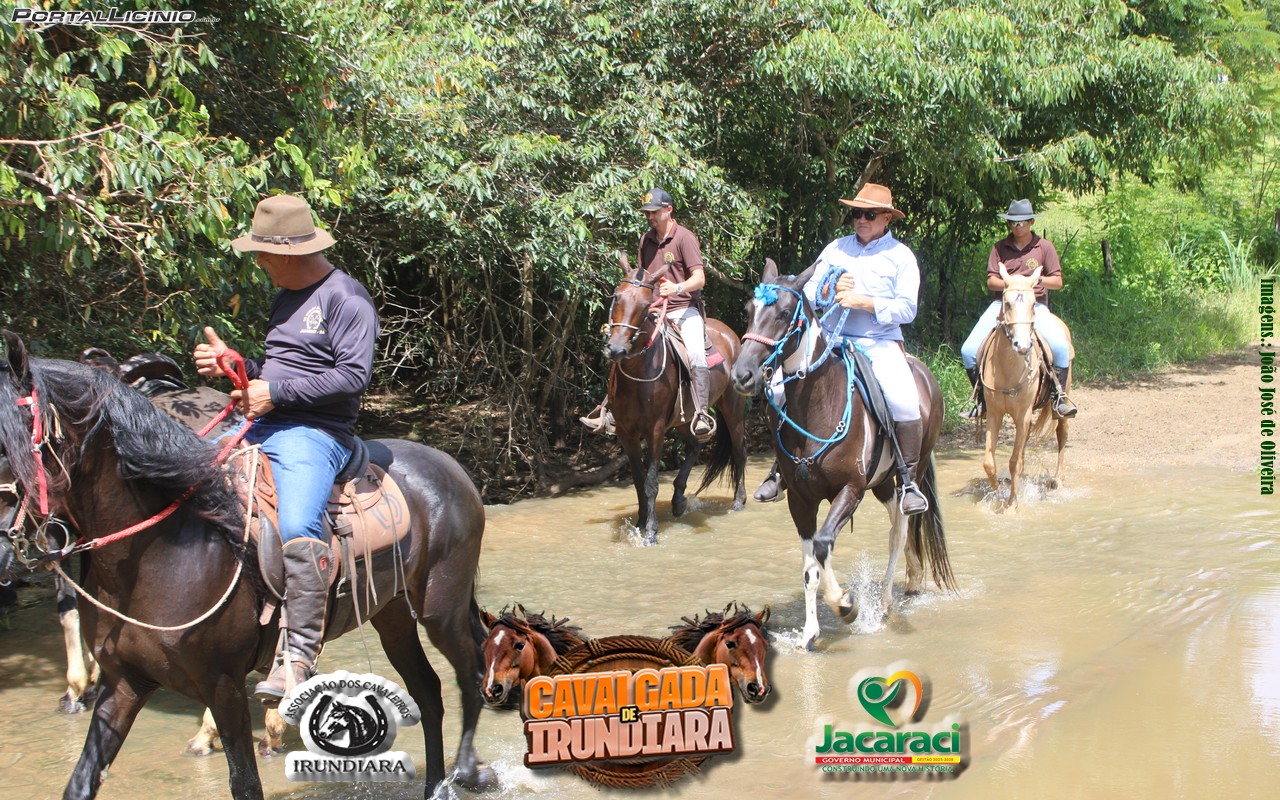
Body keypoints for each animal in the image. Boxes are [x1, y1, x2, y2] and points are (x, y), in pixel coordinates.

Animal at [0, 332, 493, 799]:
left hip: (440, 610)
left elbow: (245, 783)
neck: (156, 552)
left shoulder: (223, 684)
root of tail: (453, 467)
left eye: (15, 442)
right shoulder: (124, 681)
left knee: (469, 675)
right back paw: (436, 784)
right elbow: (82, 780)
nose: (4, 552)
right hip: (392, 615)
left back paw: (467, 772)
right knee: (428, 691)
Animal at [603, 255, 748, 544]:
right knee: (694, 446)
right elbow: (638, 481)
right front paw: (640, 522)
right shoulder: (626, 432)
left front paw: (650, 532)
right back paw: (679, 499)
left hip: (732, 408)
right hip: (684, 418)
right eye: (617, 297)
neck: (638, 372)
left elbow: (650, 482)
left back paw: (739, 501)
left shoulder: (655, 429)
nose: (616, 349)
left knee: (738, 450)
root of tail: (730, 334)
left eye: (645, 305)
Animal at [729, 260, 957, 649]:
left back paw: (885, 601)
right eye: (748, 310)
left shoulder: (850, 491)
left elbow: (823, 545)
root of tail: (924, 372)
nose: (742, 375)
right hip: (882, 484)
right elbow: (811, 566)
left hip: (910, 472)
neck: (819, 405)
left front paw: (845, 604)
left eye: (785, 313)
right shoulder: (801, 500)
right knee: (896, 524)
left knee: (901, 528)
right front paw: (810, 632)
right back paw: (909, 580)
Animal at [977, 264, 1070, 510]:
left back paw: (1057, 480)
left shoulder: (1023, 414)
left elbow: (1014, 462)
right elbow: (990, 462)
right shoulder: (995, 414)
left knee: (1062, 434)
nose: (1022, 345)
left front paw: (1012, 505)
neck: (1008, 369)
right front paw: (998, 497)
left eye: (1032, 303)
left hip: (1062, 401)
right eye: (1007, 303)